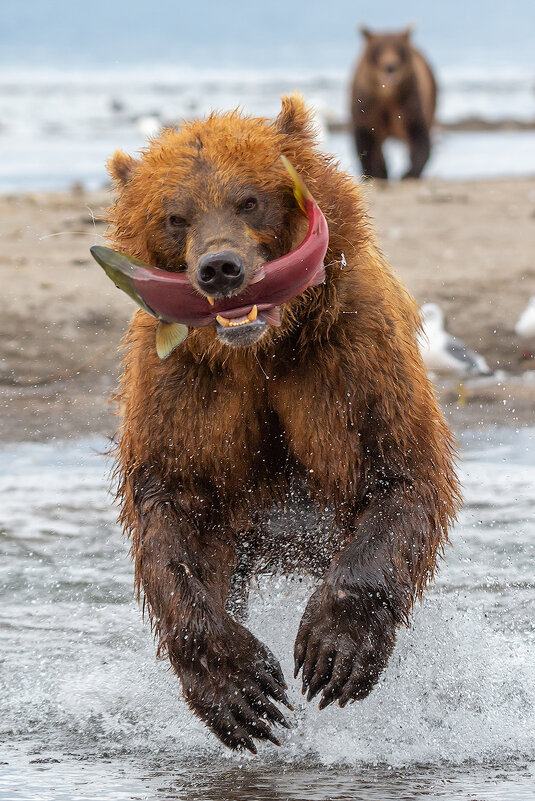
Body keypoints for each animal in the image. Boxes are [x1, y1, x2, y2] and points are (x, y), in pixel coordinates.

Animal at [104, 94, 460, 752]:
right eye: (176, 216)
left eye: (250, 198)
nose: (219, 268)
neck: (263, 350)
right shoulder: (186, 390)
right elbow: (172, 511)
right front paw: (239, 689)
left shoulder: (350, 358)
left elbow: (402, 473)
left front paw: (334, 650)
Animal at [352, 27, 440, 180]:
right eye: (378, 48)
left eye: (399, 49)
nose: (390, 66)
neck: (387, 95)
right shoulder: (367, 106)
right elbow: (366, 139)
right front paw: (375, 173)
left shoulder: (408, 103)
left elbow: (419, 137)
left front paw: (409, 173)